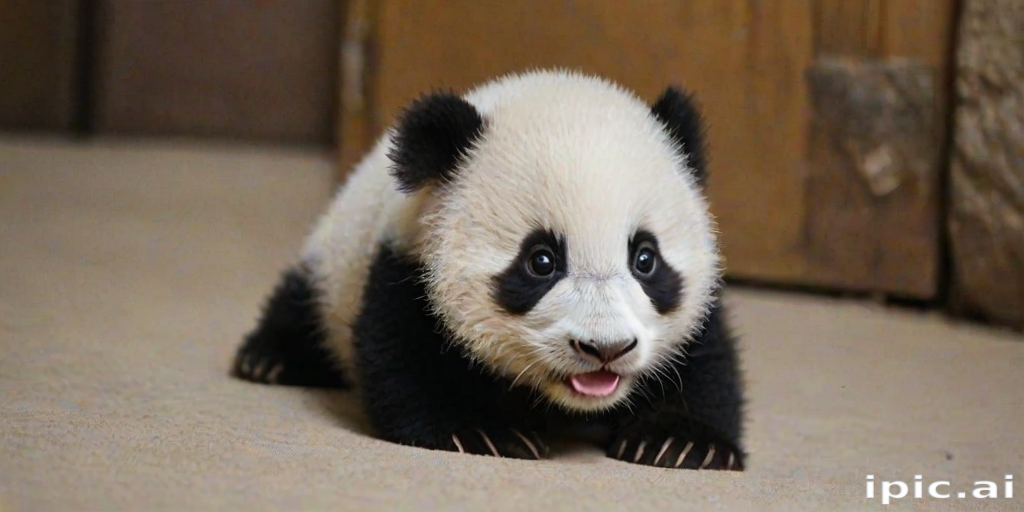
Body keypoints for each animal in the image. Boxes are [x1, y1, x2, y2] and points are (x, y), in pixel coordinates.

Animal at [231, 68, 745, 471]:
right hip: (335, 260)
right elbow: (405, 355)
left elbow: (706, 362)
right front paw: (482, 432)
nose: (606, 349)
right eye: (541, 262)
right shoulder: (406, 262)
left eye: (645, 259)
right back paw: (269, 358)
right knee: (304, 297)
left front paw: (680, 443)